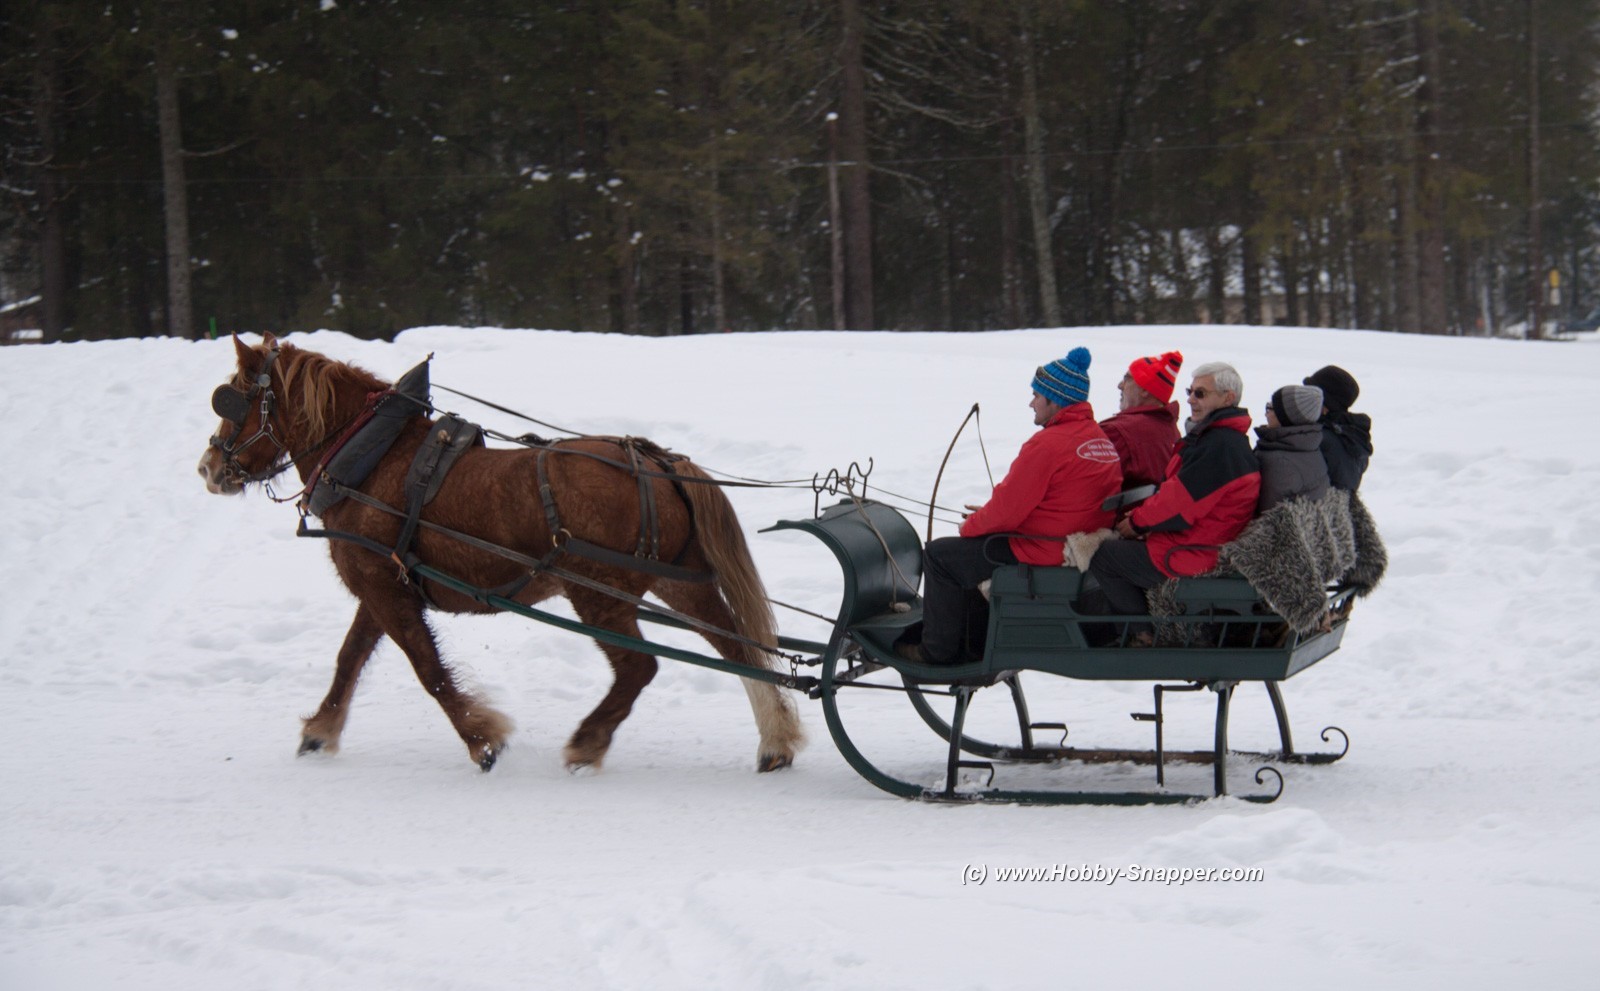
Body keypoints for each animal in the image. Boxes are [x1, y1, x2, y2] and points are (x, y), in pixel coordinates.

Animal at [197, 333, 803, 775]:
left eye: (232, 397)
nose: (209, 468)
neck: (370, 459)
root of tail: (653, 460)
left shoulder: (385, 587)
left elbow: (429, 670)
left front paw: (482, 740)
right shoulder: (382, 584)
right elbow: (350, 659)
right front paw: (320, 732)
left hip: (599, 594)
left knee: (640, 666)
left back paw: (588, 742)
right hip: (679, 581)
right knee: (737, 648)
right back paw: (775, 743)